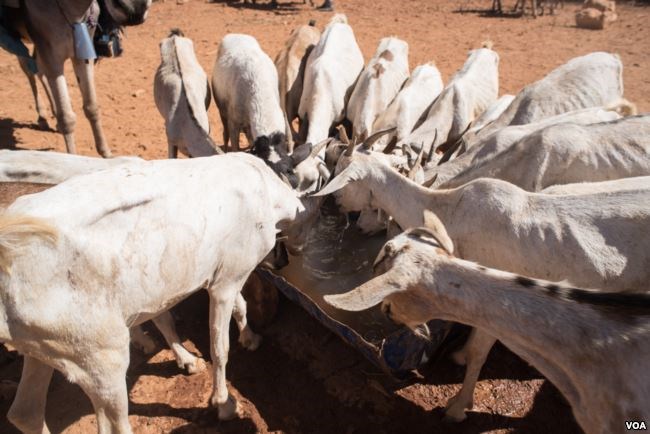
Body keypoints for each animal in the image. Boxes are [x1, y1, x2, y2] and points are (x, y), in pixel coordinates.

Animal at [1, 153, 321, 433]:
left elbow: (222, 311)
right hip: (100, 357)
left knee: (25, 414)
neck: (264, 184)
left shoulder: (203, 279)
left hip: (48, 347)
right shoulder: (225, 282)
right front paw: (224, 403)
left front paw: (245, 340)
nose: (283, 260)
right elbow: (220, 347)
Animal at [315, 148, 650, 422]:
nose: (335, 205)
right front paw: (460, 356)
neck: (451, 210)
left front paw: (457, 407)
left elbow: (479, 350)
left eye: (343, 176)